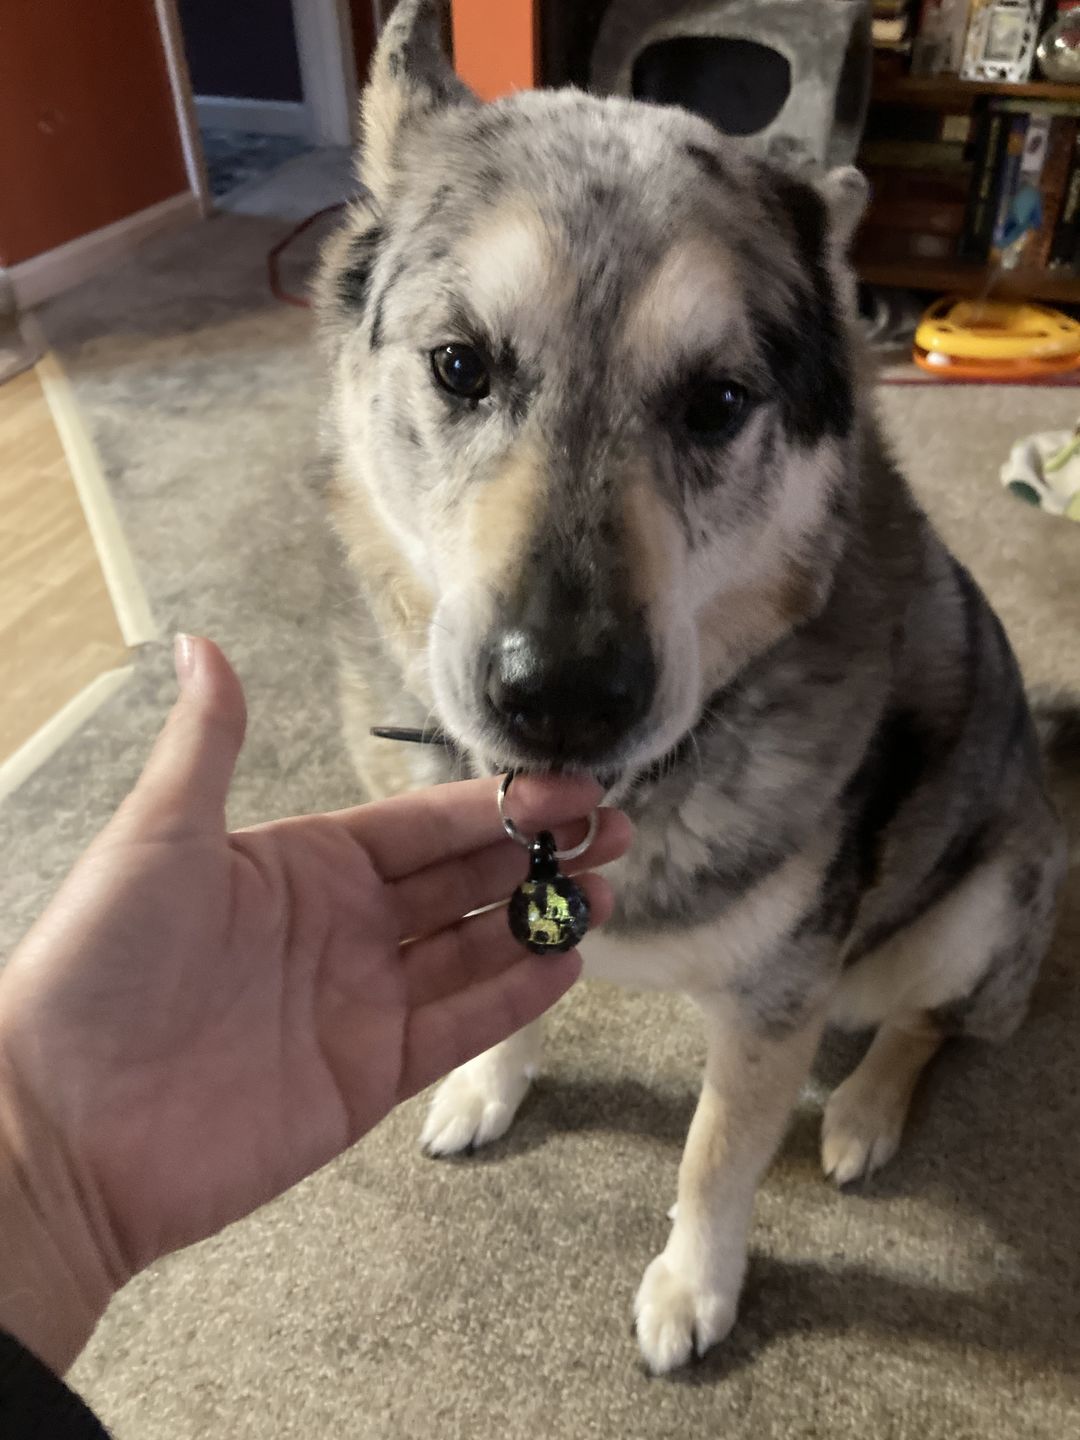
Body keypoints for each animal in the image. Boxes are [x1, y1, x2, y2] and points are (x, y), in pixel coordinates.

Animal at [315, 0, 1068, 1373]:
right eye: (459, 365)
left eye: (718, 401)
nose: (559, 696)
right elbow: (509, 1014)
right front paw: (487, 1086)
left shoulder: (776, 1004)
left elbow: (718, 1155)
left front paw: (695, 1285)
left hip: (972, 913)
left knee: (929, 1024)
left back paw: (865, 1109)